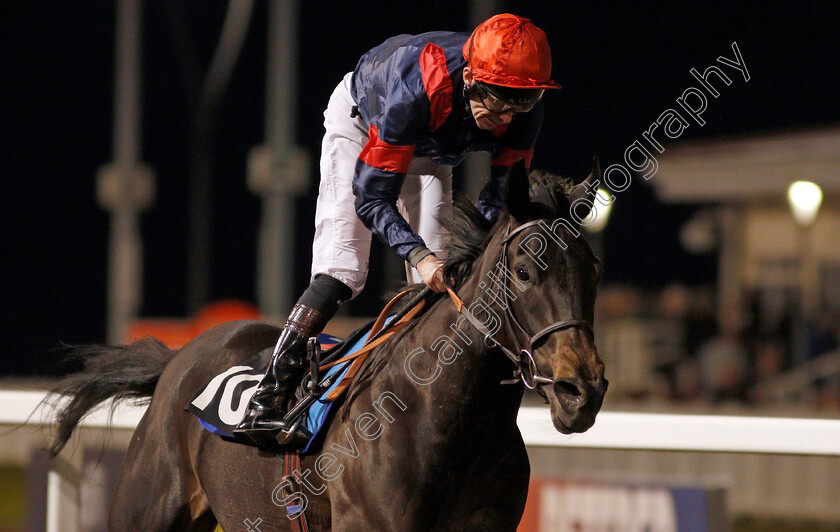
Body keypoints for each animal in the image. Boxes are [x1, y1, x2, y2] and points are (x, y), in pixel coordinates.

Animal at [49, 160, 608, 528]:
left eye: (593, 271)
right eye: (525, 271)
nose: (582, 390)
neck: (445, 421)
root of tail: (178, 359)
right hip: (148, 505)